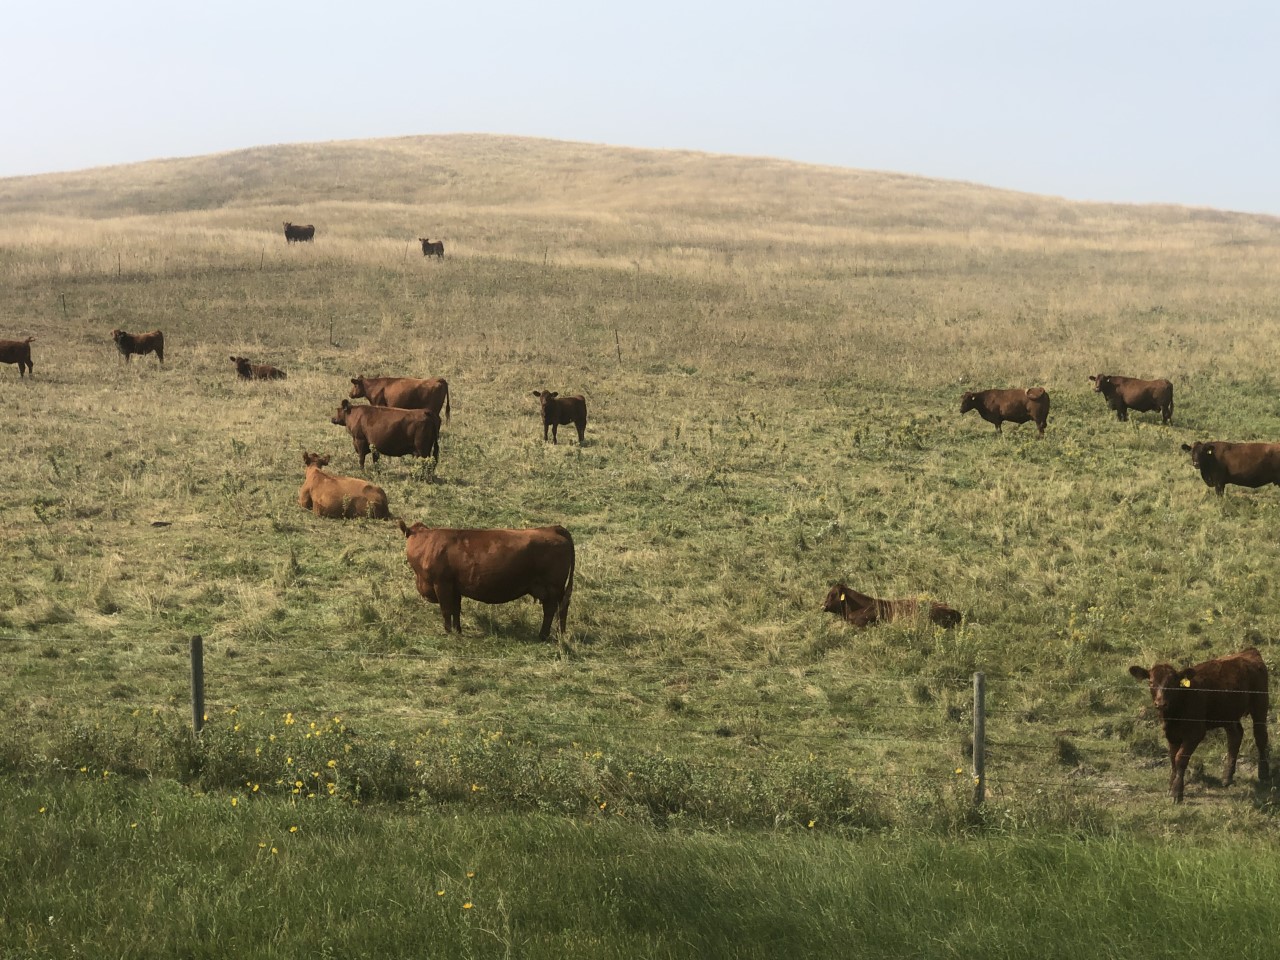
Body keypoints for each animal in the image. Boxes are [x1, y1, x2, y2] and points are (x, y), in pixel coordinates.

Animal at [396, 519, 573, 640]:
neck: (427, 544)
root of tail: (553, 528)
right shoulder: (455, 587)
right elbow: (456, 610)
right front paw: (457, 630)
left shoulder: (442, 584)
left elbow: (446, 609)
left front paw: (448, 632)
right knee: (560, 609)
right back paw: (559, 634)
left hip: (552, 587)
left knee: (551, 610)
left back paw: (543, 635)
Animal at [1131, 647, 1269, 803]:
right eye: (1151, 682)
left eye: (1172, 683)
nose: (1161, 704)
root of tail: (1249, 651)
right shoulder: (1171, 734)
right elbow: (1172, 758)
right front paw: (1171, 787)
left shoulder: (1195, 733)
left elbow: (1180, 758)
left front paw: (1177, 792)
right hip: (1228, 712)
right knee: (1235, 736)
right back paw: (1227, 777)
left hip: (1260, 703)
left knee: (1260, 736)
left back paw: (1263, 774)